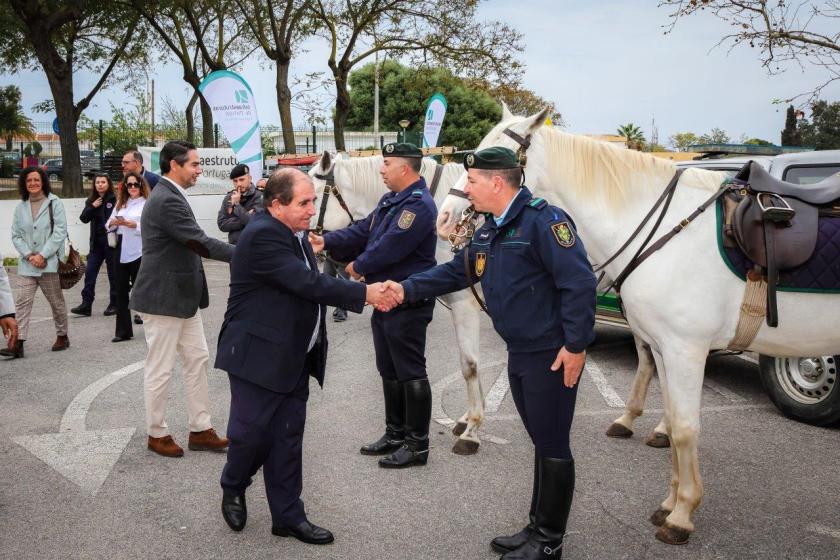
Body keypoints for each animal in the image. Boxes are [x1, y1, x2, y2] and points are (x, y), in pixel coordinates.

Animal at [436, 107, 840, 544]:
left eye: (490, 157)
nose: (446, 216)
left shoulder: (685, 349)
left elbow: (685, 428)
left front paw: (682, 514)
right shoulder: (665, 346)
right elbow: (674, 419)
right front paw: (670, 501)